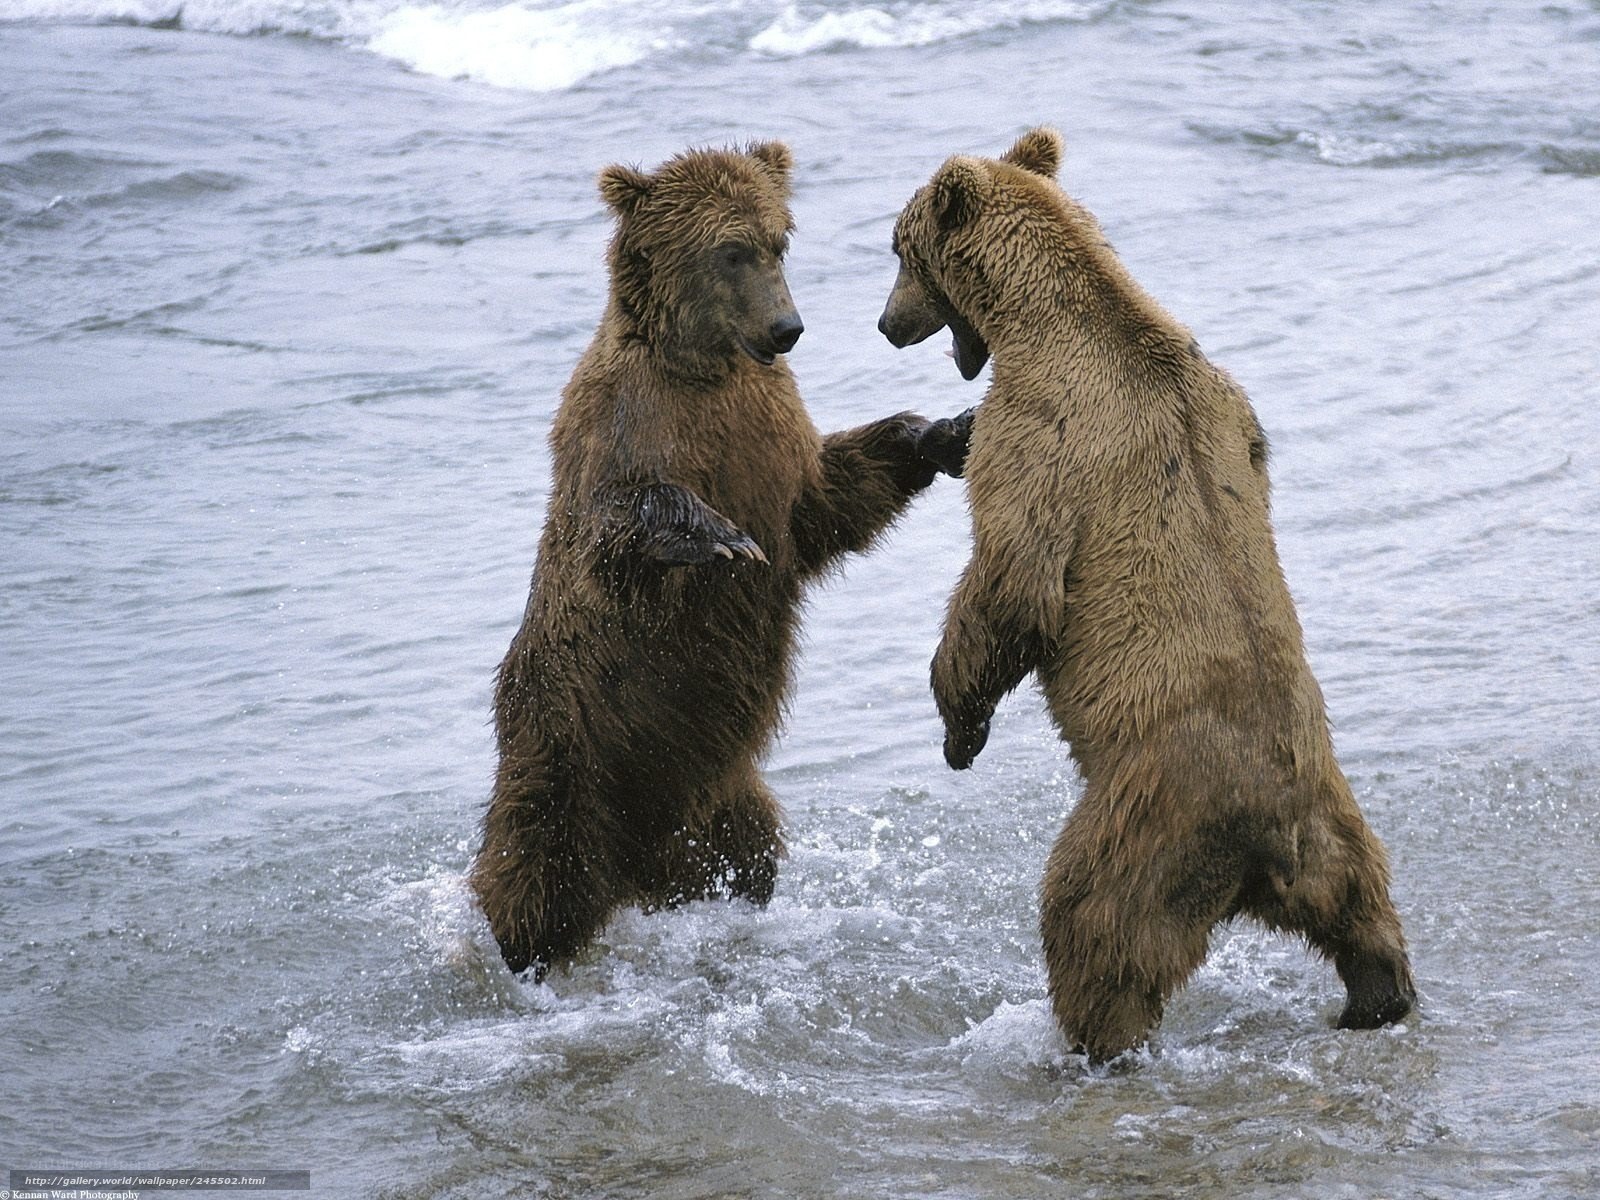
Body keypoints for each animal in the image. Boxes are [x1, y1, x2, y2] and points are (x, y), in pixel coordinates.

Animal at [472, 140, 971, 978]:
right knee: (536, 866)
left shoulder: (770, 437)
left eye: (779, 242)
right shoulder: (624, 421)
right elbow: (613, 530)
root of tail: (636, 873)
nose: (787, 327)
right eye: (729, 251)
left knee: (747, 851)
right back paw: (522, 952)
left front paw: (943, 431)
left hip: (719, 788)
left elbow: (825, 501)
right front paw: (714, 534)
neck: (707, 367)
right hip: (565, 739)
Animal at [879, 127, 1415, 1062]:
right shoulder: (1230, 404)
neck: (1046, 317)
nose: (885, 323)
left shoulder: (1042, 435)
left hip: (1149, 811)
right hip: (1337, 821)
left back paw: (1091, 1041)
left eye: (898, 251)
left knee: (1092, 921)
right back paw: (1376, 998)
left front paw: (958, 727)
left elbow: (1011, 583)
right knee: (1366, 909)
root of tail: (1271, 837)